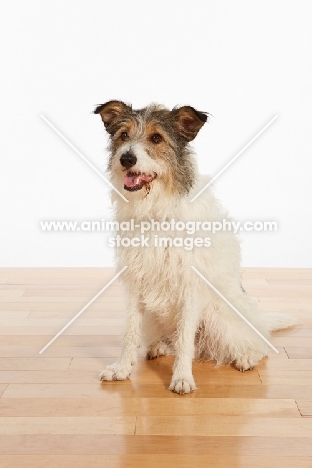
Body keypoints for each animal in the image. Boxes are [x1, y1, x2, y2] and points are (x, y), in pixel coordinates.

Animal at [93, 100, 298, 394]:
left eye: (156, 138)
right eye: (123, 135)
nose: (126, 159)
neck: (156, 208)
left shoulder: (190, 285)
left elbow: (185, 340)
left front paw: (182, 377)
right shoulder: (135, 281)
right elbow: (129, 331)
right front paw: (122, 368)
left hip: (218, 315)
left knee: (258, 343)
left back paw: (246, 356)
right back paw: (159, 346)